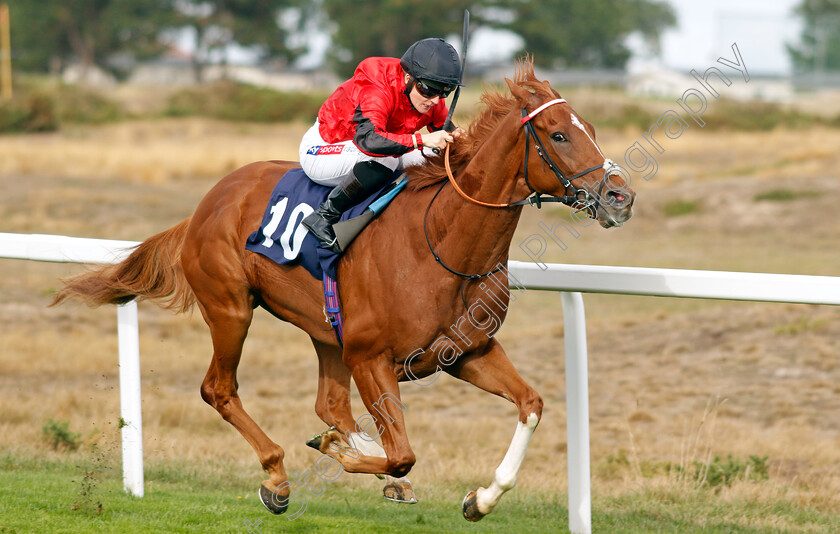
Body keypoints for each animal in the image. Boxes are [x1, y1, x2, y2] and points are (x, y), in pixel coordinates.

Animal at [52, 59, 632, 524]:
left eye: (590, 128)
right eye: (557, 135)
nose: (620, 197)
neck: (442, 241)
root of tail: (208, 201)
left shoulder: (466, 351)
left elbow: (530, 404)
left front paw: (480, 498)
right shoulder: (372, 356)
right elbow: (402, 452)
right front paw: (354, 456)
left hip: (325, 330)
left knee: (329, 402)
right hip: (232, 308)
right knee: (219, 389)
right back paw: (278, 476)